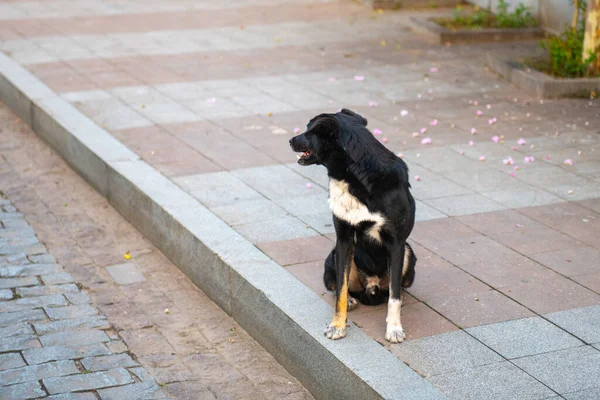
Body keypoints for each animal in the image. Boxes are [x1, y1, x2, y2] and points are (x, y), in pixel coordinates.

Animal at [288, 109, 414, 344]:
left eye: (310, 131)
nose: (290, 140)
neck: (356, 176)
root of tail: (372, 284)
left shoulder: (397, 243)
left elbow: (394, 296)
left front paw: (394, 328)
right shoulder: (344, 240)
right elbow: (340, 289)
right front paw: (337, 325)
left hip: (409, 254)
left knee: (396, 289)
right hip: (333, 255)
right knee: (337, 285)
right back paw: (352, 300)